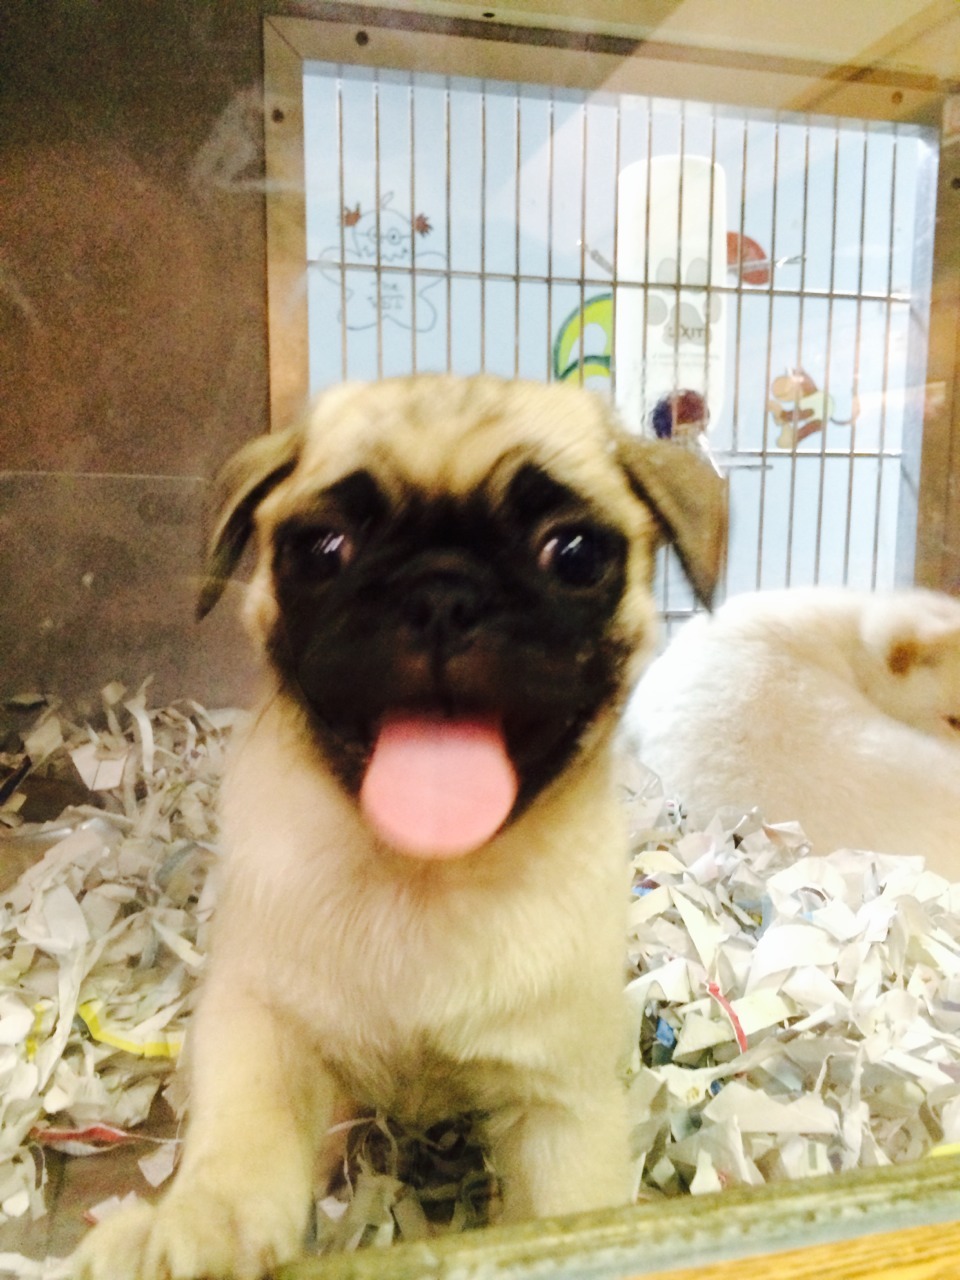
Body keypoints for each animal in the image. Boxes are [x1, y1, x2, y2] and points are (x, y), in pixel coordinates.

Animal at [75, 373, 727, 1280]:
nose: (442, 593)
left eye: (573, 554)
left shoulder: (559, 1107)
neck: (422, 879)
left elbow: (568, 1213)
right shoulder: (262, 1028)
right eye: (324, 549)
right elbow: (245, 1141)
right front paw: (202, 1225)